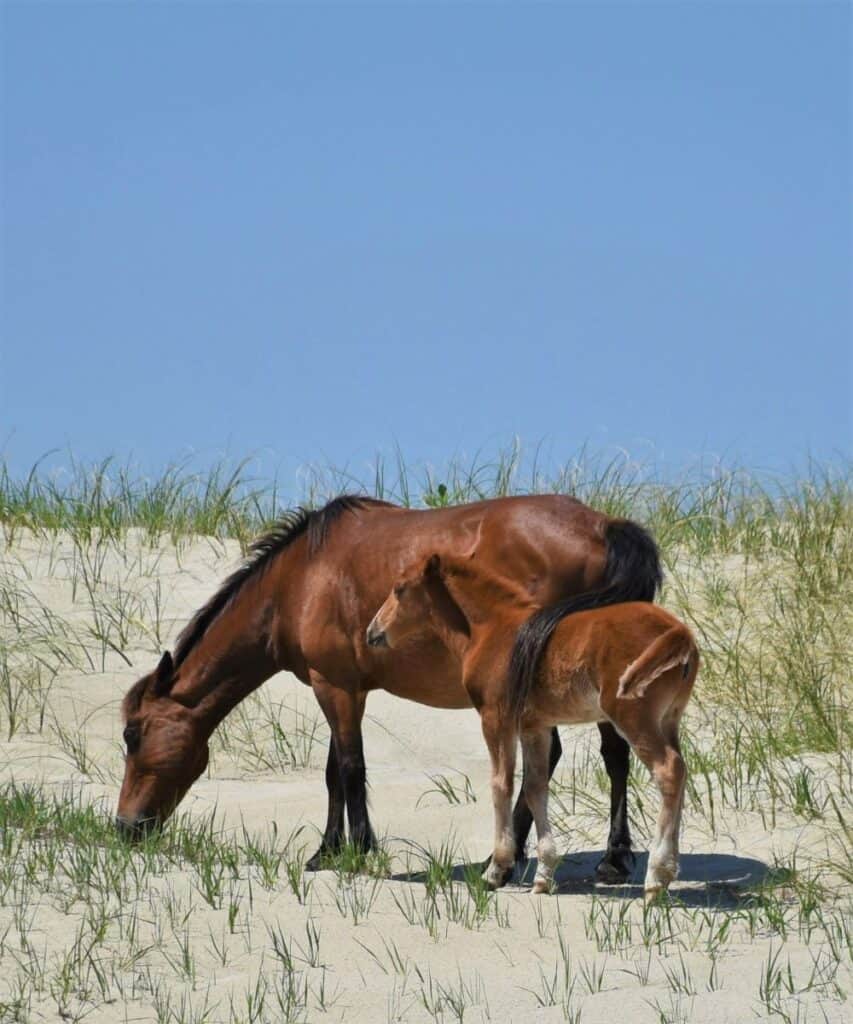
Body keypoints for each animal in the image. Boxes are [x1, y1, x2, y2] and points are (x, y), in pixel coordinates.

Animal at [114, 489, 659, 880]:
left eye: (131, 735)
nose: (124, 827)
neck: (298, 580)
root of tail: (604, 526)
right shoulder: (341, 685)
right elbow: (333, 771)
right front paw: (327, 852)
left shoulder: (334, 687)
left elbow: (350, 768)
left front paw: (360, 852)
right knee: (603, 756)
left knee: (592, 756)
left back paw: (572, 859)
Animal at [368, 552, 700, 897]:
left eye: (400, 588)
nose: (372, 631)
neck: (493, 630)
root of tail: (679, 631)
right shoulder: (534, 726)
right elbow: (535, 787)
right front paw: (544, 874)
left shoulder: (495, 718)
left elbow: (501, 785)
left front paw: (495, 870)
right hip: (669, 720)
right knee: (681, 770)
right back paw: (668, 870)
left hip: (634, 719)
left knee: (668, 771)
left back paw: (657, 877)